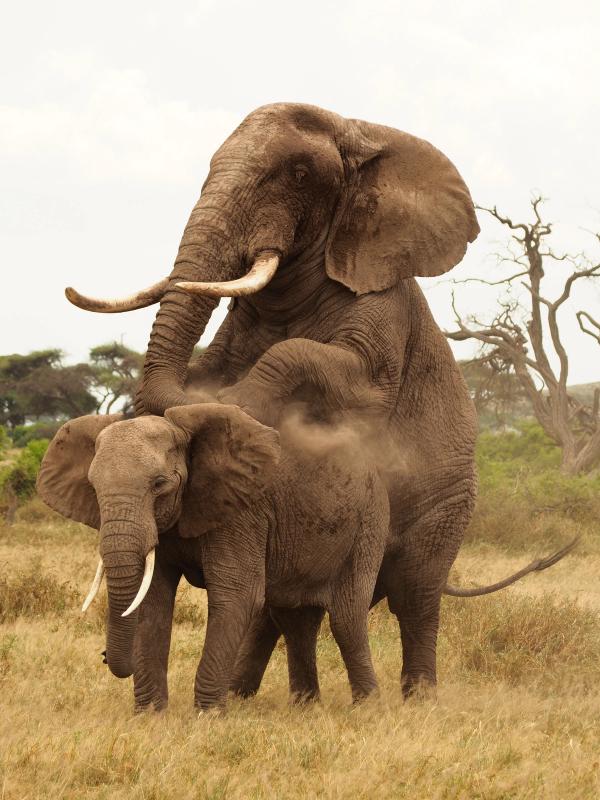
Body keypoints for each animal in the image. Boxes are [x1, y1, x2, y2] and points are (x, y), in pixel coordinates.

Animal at [36, 404, 390, 711]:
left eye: (159, 484)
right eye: (93, 487)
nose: (104, 655)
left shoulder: (242, 510)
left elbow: (236, 595)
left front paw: (209, 714)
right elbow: (153, 598)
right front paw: (149, 714)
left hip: (368, 524)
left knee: (346, 617)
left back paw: (366, 708)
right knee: (295, 620)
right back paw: (305, 707)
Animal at [63, 102, 571, 697]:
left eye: (299, 174)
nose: (103, 656)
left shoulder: (383, 307)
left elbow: (330, 369)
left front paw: (235, 403)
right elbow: (213, 367)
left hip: (448, 505)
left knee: (416, 595)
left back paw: (417, 697)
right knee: (282, 606)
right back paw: (251, 694)